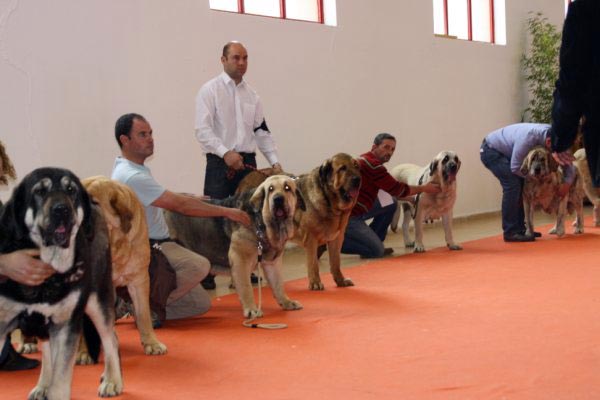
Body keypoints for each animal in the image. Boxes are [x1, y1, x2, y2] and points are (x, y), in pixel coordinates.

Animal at [0, 167, 122, 398]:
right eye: (39, 191)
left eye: (71, 190)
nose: (61, 210)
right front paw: (47, 386)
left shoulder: (67, 324)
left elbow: (61, 379)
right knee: (48, 353)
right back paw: (42, 385)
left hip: (98, 301)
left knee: (110, 338)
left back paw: (112, 380)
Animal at [165, 175, 302, 318]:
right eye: (270, 189)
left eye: (287, 188)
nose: (278, 199)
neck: (261, 222)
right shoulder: (240, 259)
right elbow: (246, 287)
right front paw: (252, 310)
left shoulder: (272, 264)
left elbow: (278, 284)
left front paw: (286, 303)